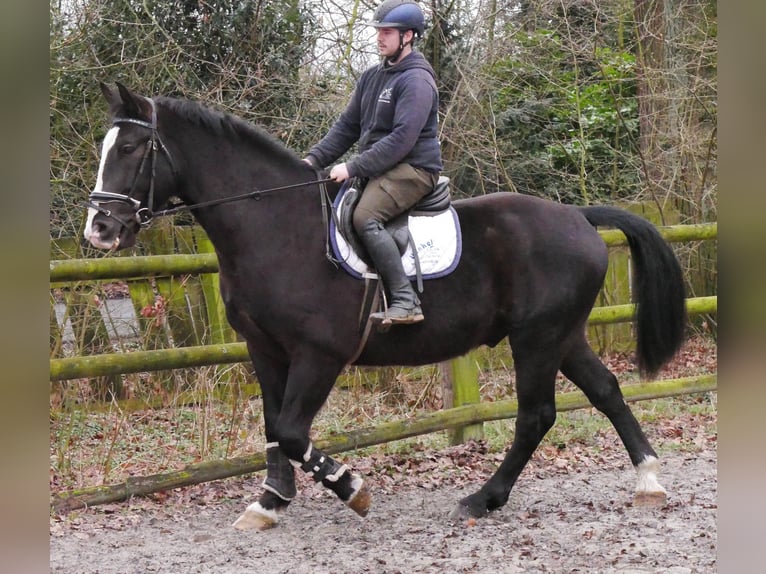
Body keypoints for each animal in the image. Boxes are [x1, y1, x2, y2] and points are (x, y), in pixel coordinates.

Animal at [84, 82, 686, 530]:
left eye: (131, 149)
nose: (100, 230)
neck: (276, 227)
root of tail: (578, 217)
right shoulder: (265, 348)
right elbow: (273, 425)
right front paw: (270, 501)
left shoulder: (319, 354)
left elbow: (294, 430)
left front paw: (351, 487)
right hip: (563, 335)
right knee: (606, 390)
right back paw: (648, 480)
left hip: (536, 339)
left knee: (535, 415)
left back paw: (482, 498)